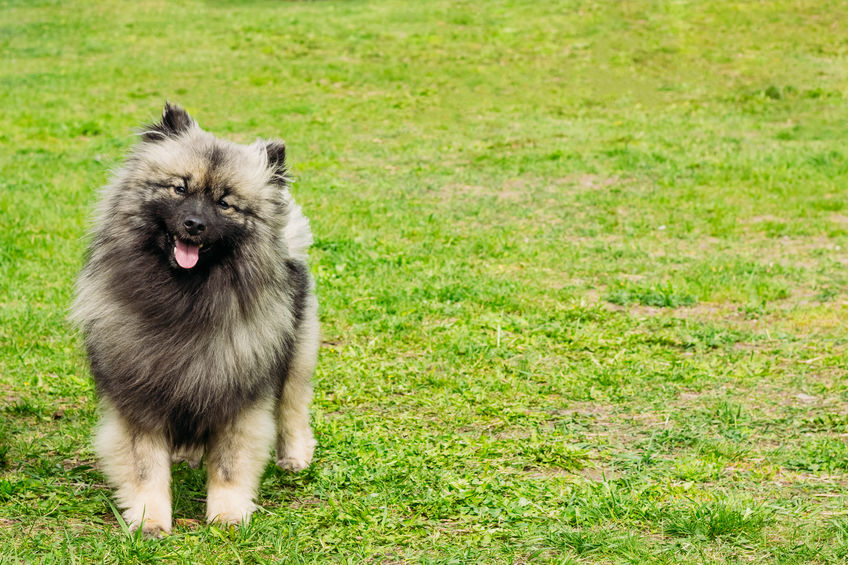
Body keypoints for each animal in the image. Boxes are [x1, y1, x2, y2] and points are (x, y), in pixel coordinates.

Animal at [70, 103, 318, 536]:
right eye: (180, 189)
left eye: (225, 203)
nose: (194, 225)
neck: (185, 300)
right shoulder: (139, 397)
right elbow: (146, 468)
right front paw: (150, 518)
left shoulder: (239, 396)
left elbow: (230, 464)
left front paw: (228, 514)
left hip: (296, 355)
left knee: (292, 408)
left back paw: (295, 455)